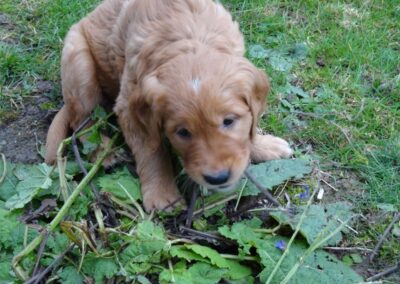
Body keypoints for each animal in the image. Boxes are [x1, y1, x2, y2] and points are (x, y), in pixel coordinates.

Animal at [45, 0, 292, 212]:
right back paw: (103, 153)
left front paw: (265, 145)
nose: (218, 178)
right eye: (183, 132)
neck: (190, 36)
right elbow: (152, 151)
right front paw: (162, 196)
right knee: (81, 120)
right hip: (79, 64)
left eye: (229, 121)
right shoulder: (128, 105)